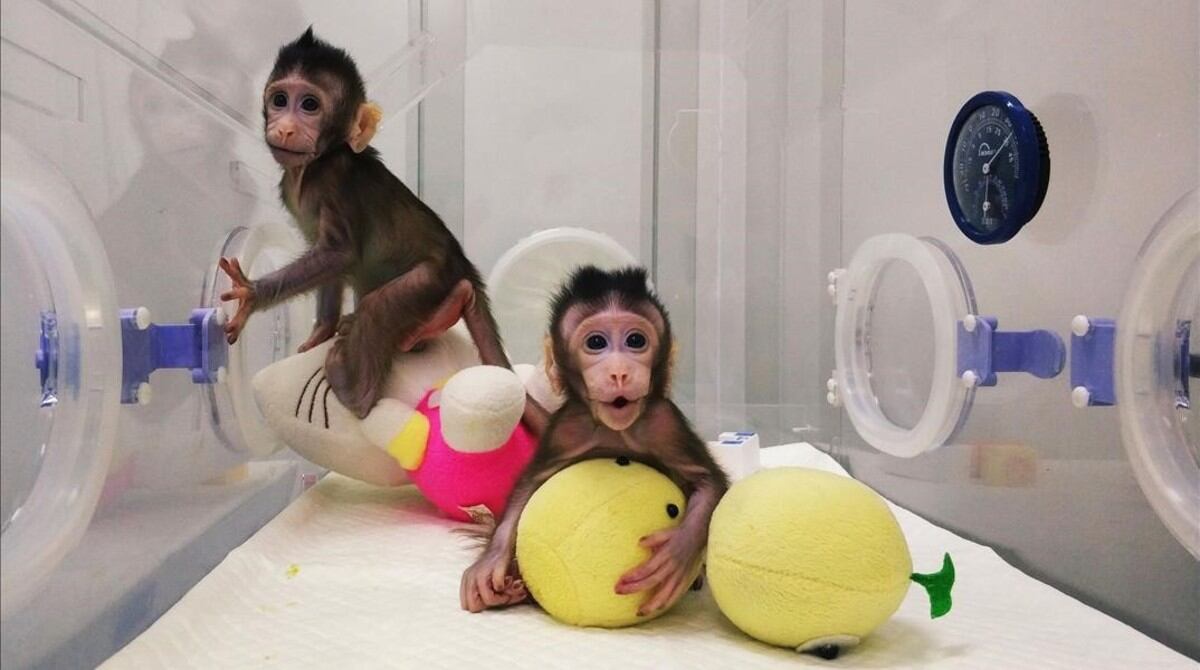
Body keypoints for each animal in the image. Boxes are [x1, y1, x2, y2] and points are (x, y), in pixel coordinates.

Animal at [219, 28, 547, 432]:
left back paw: (352, 388)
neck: (315, 165)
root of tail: (463, 266)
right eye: (280, 100)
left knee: (379, 305)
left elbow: (338, 253)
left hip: (432, 278)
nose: (285, 127)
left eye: (309, 105)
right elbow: (330, 264)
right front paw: (321, 331)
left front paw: (250, 295)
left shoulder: (335, 180)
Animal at [460, 265, 729, 617]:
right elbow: (528, 486)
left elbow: (708, 481)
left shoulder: (664, 423)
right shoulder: (567, 428)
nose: (619, 373)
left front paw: (675, 556)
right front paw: (490, 562)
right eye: (596, 342)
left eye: (635, 341)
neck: (614, 430)